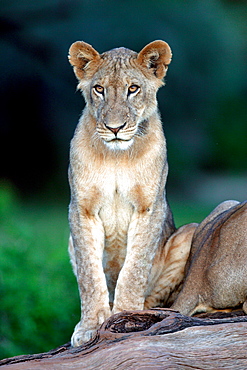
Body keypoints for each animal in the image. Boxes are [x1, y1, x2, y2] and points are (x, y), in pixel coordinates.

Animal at [67, 40, 195, 346]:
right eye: (99, 89)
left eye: (133, 88)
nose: (115, 128)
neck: (117, 156)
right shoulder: (81, 209)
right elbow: (89, 276)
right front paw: (90, 326)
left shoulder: (150, 207)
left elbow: (134, 268)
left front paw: (125, 315)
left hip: (189, 232)